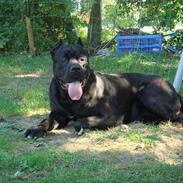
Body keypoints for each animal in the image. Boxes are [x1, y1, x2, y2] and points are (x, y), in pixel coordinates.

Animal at [24, 38, 183, 138]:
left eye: (82, 59)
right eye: (63, 59)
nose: (76, 68)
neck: (72, 100)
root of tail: (173, 88)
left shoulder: (109, 116)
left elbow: (80, 121)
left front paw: (79, 125)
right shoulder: (58, 114)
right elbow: (47, 121)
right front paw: (36, 130)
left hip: (147, 93)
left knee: (177, 116)